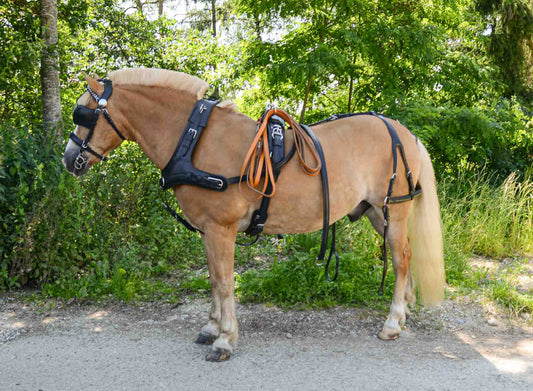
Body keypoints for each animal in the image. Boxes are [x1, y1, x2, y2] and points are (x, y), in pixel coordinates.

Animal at [62, 66, 444, 362]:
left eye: (84, 114)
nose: (69, 159)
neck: (194, 140)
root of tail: (404, 132)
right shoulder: (208, 230)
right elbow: (213, 280)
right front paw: (211, 327)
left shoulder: (221, 228)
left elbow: (225, 282)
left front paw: (224, 340)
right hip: (377, 213)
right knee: (404, 255)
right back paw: (404, 311)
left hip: (393, 209)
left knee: (401, 259)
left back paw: (392, 322)